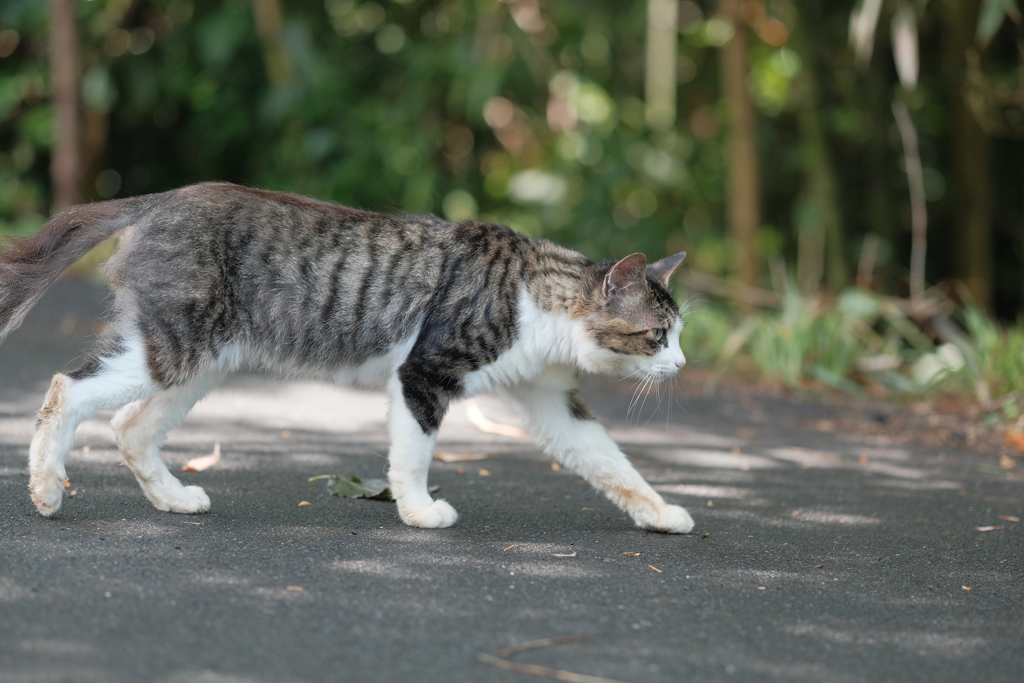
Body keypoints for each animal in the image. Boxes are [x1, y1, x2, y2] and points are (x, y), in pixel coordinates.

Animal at [0, 183, 696, 532]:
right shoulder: (423, 376)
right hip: (170, 350)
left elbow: (612, 463)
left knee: (130, 427)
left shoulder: (551, 399)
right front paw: (419, 514)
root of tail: (163, 196)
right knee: (65, 388)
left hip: (202, 361)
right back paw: (46, 490)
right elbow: (412, 458)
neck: (535, 296)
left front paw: (660, 514)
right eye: (659, 336)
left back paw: (174, 501)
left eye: (680, 334)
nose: (683, 367)